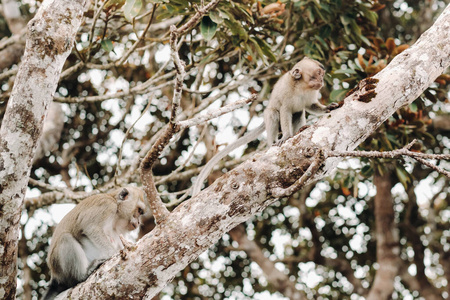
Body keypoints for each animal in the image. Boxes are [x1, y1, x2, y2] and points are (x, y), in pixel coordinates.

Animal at [192, 57, 340, 196]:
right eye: (318, 74)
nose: (322, 80)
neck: (302, 87)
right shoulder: (287, 92)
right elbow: (285, 111)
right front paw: (286, 136)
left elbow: (310, 105)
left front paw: (328, 107)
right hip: (269, 114)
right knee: (274, 113)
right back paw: (272, 142)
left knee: (298, 112)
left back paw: (300, 129)